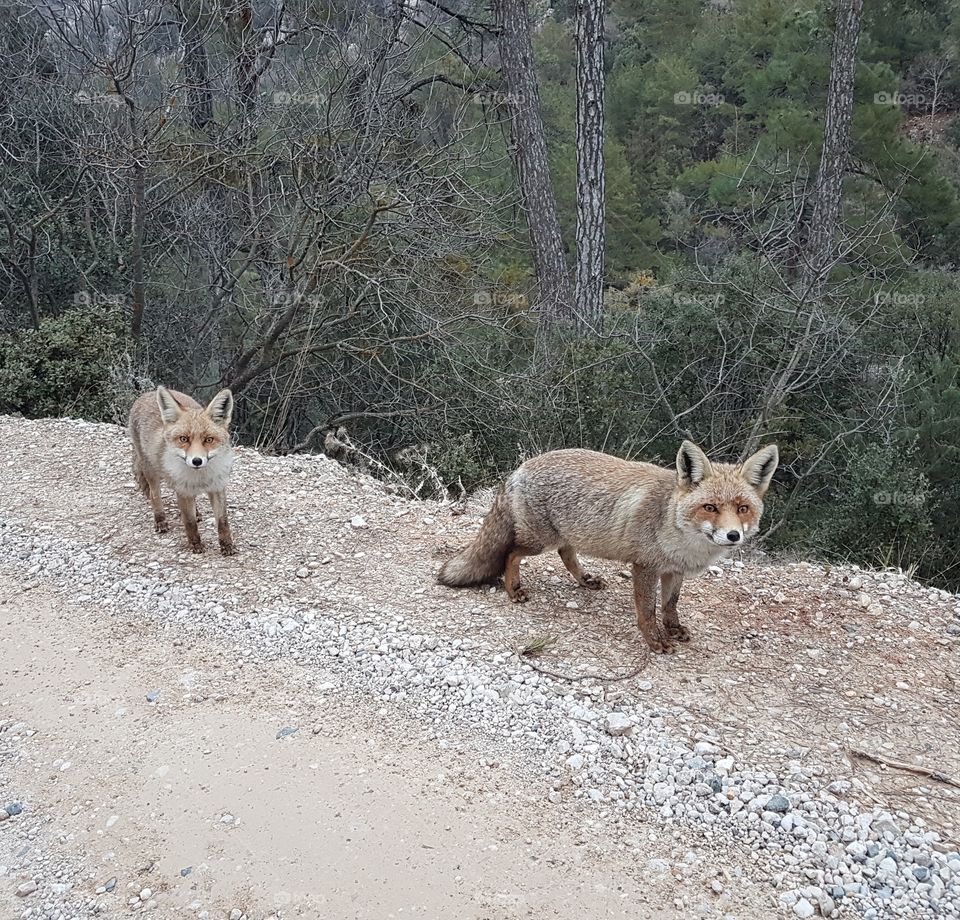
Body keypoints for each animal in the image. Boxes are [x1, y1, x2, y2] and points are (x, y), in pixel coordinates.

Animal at [128, 386, 237, 555]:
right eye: (184, 439)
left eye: (209, 439)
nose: (197, 461)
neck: (201, 477)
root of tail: (146, 394)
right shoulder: (183, 491)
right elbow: (190, 522)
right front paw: (195, 545)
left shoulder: (217, 487)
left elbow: (222, 521)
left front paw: (226, 545)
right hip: (151, 471)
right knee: (154, 495)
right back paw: (160, 520)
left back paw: (196, 512)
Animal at [438, 440, 779, 654]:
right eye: (710, 507)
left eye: (743, 508)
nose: (733, 536)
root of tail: (523, 466)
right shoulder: (645, 567)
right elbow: (648, 611)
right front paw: (655, 641)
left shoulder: (674, 571)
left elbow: (670, 605)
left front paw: (673, 628)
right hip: (539, 540)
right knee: (511, 554)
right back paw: (514, 589)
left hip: (565, 536)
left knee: (566, 554)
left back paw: (584, 580)